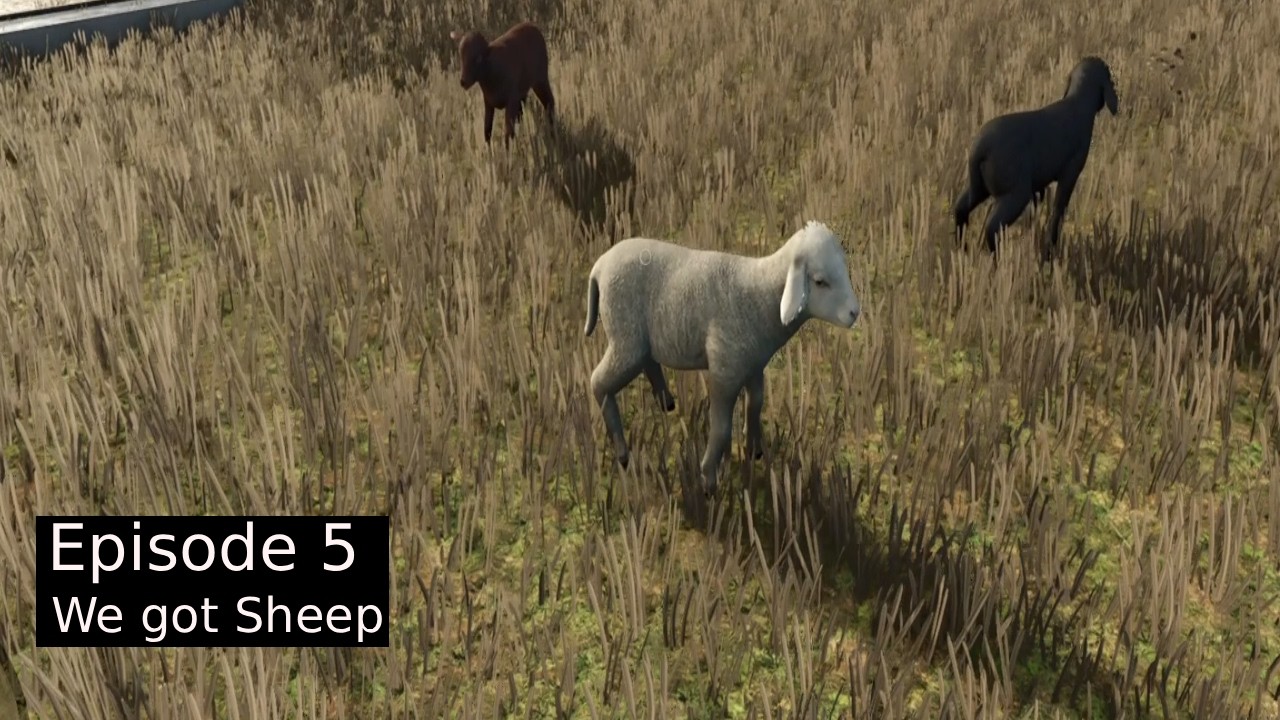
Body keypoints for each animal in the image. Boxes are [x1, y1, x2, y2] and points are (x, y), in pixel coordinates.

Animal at [583, 221, 862, 497]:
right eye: (820, 281)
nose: (855, 312)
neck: (761, 295)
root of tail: (600, 265)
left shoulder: (753, 366)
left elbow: (755, 404)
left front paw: (754, 450)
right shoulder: (724, 371)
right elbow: (721, 428)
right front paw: (708, 478)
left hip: (641, 339)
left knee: (648, 362)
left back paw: (666, 402)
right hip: (625, 337)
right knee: (598, 382)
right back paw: (622, 453)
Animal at [952, 56, 1119, 261]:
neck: (1076, 103)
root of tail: (979, 148)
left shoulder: (1038, 187)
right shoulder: (1070, 172)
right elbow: (1058, 211)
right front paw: (1049, 252)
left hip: (978, 188)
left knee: (961, 208)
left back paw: (963, 249)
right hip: (1015, 193)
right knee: (992, 227)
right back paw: (998, 259)